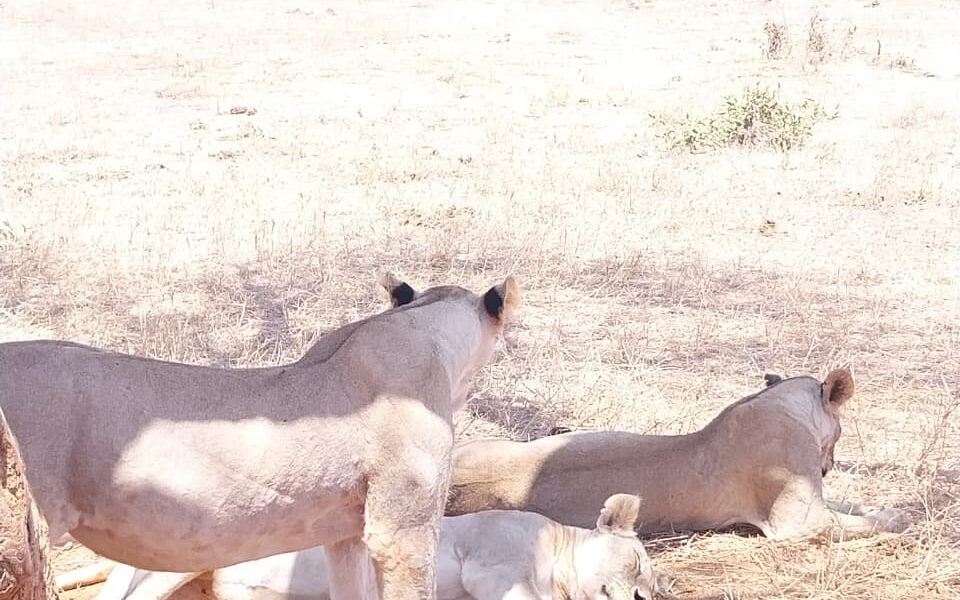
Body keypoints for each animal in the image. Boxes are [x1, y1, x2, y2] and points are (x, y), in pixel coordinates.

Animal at [447, 368, 911, 541]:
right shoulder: (797, 522)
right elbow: (859, 524)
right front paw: (897, 518)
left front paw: (876, 505)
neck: (775, 402)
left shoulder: (815, 500)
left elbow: (850, 506)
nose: (828, 467)